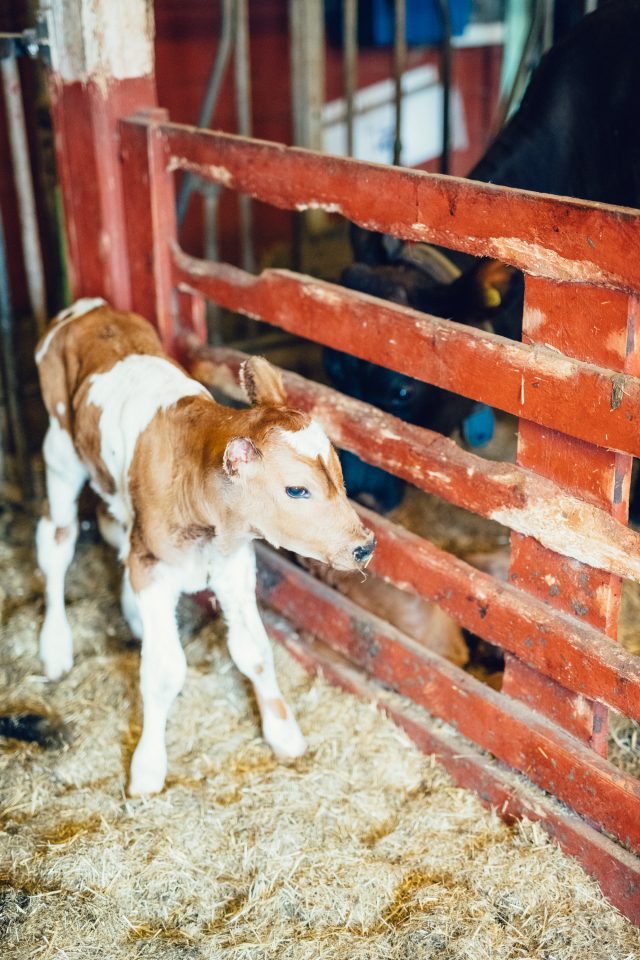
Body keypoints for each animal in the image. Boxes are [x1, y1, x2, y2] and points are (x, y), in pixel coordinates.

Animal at [34, 299, 375, 796]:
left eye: (339, 473)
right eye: (297, 490)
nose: (364, 546)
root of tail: (88, 308)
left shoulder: (232, 564)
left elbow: (254, 649)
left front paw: (283, 732)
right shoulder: (154, 567)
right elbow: (164, 671)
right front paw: (148, 767)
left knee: (114, 531)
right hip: (59, 453)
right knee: (57, 542)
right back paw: (55, 646)